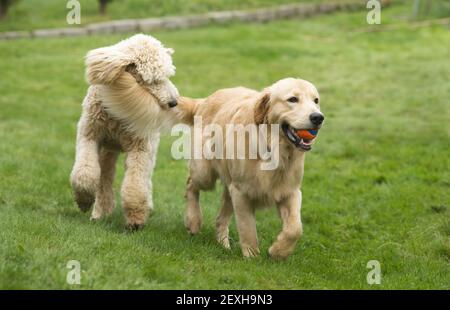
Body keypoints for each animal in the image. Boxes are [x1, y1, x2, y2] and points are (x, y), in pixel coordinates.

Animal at [70, 34, 179, 230]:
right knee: (104, 178)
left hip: (148, 146)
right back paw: (100, 212)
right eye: (153, 80)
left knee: (144, 179)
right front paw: (83, 200)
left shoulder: (140, 148)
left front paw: (135, 220)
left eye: (168, 76)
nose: (173, 102)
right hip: (107, 149)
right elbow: (84, 173)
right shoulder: (89, 135)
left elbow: (135, 186)